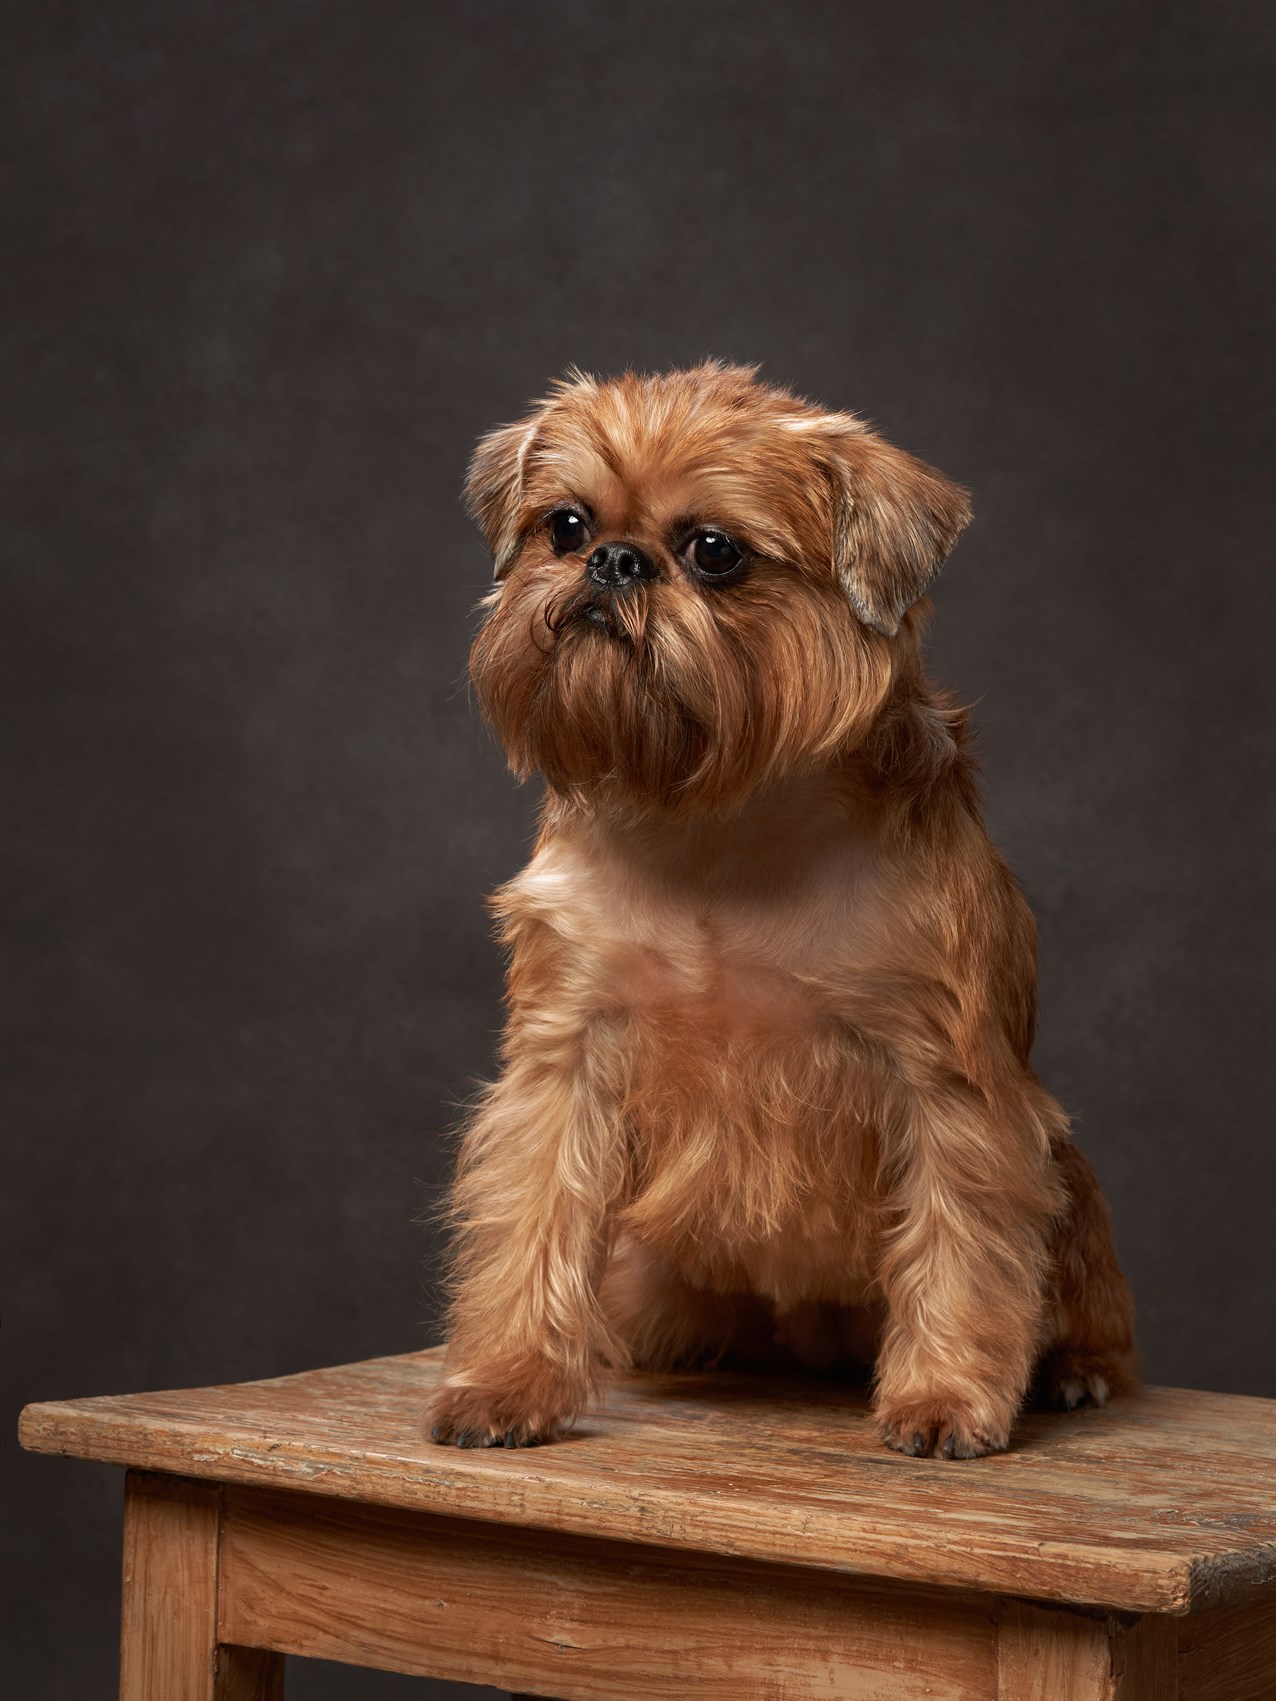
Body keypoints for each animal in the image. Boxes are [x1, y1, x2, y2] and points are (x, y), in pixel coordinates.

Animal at [430, 365, 1136, 1456]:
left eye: (714, 552)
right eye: (565, 526)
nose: (614, 562)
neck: (717, 823)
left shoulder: (948, 1085)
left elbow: (963, 1240)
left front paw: (945, 1397)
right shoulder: (563, 1062)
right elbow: (533, 1219)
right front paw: (509, 1380)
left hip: (1073, 1189)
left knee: (1083, 1302)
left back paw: (1074, 1371)